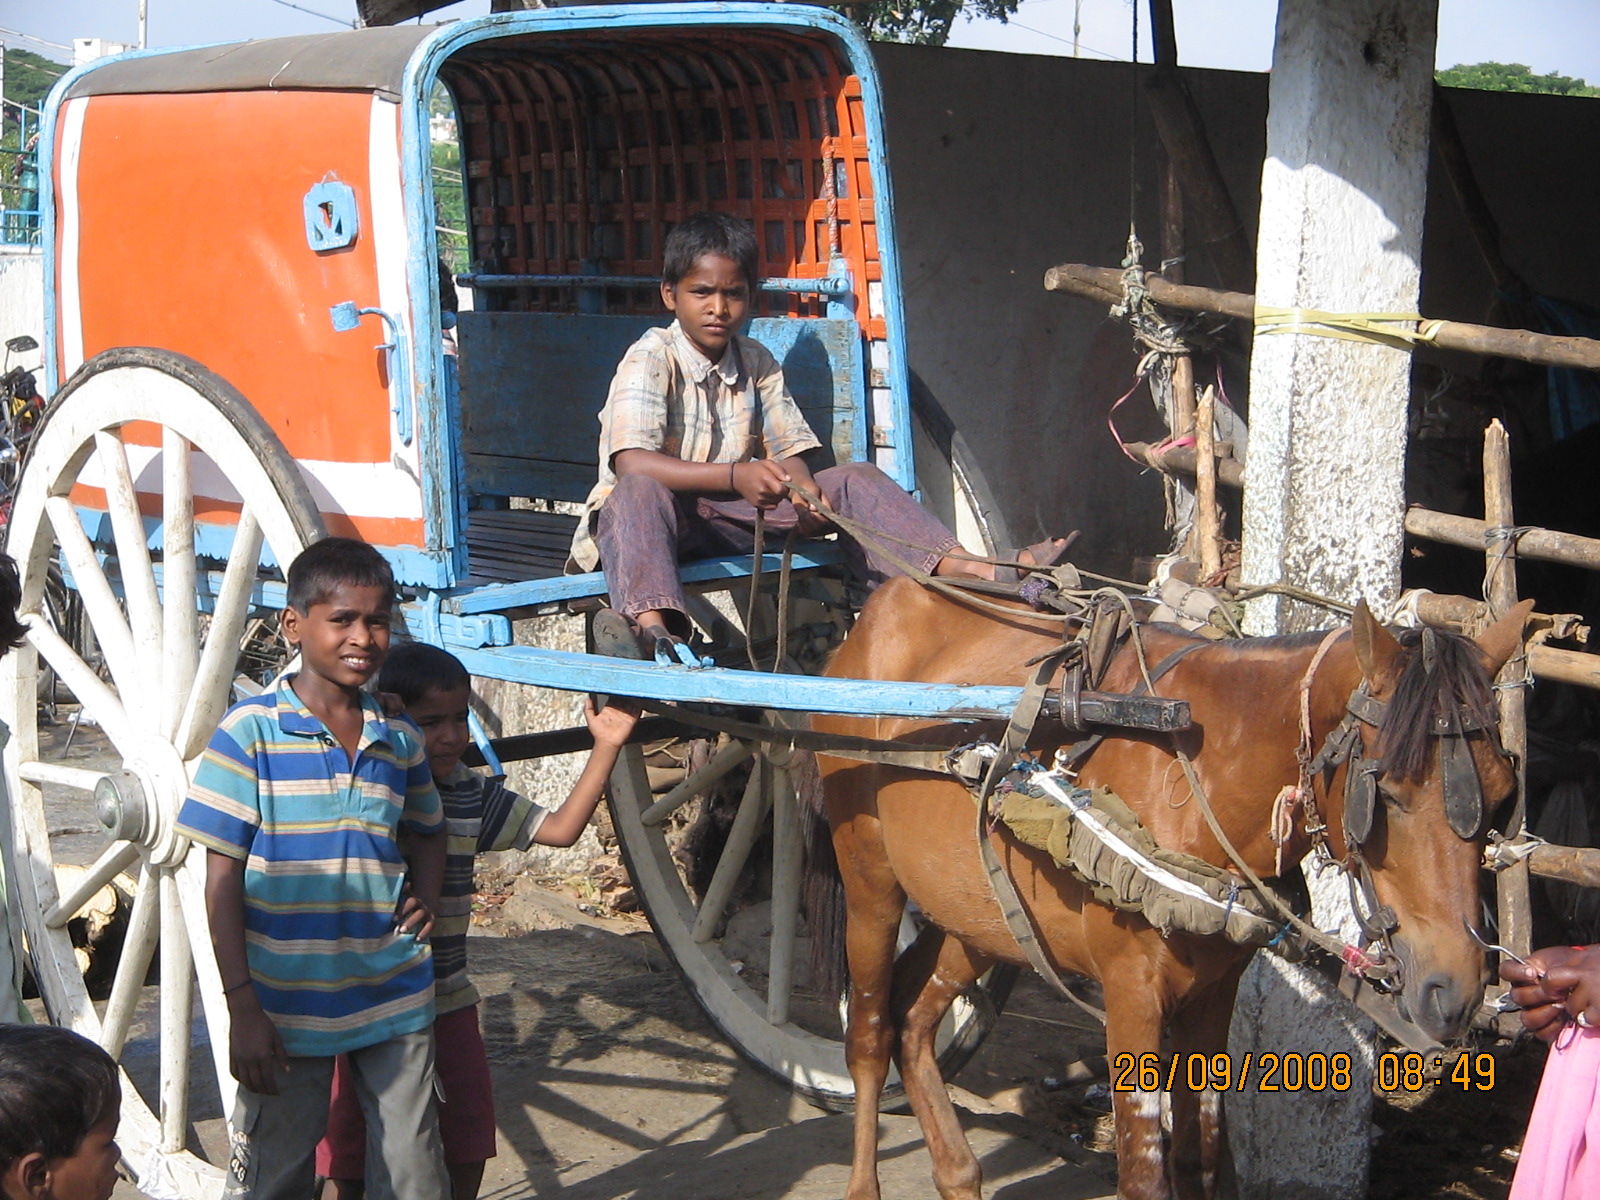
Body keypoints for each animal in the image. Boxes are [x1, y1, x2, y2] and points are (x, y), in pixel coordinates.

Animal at [812, 579, 1523, 1196]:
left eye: (1501, 794)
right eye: (1391, 796)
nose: (1455, 991)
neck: (1199, 780)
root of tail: (881, 608)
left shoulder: (1213, 991)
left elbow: (1200, 1158)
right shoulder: (1132, 995)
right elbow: (1145, 1173)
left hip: (978, 912)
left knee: (912, 1015)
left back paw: (959, 1173)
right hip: (869, 876)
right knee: (870, 1034)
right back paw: (863, 1180)